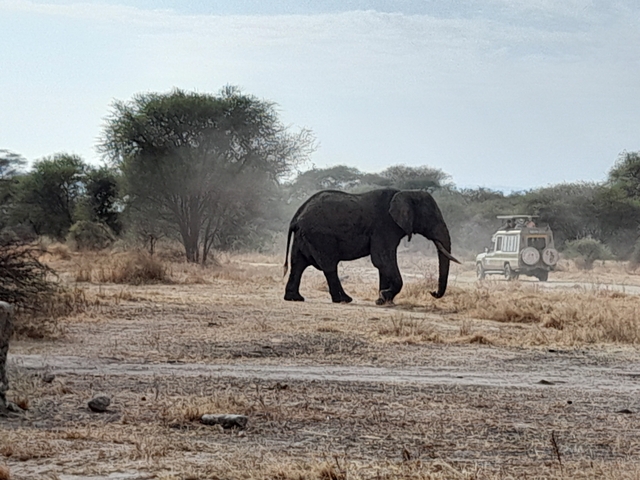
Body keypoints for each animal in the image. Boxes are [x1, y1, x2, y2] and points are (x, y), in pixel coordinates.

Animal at [283, 188, 459, 304]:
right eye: (431, 217)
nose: (432, 292)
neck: (406, 193)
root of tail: (297, 216)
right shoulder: (384, 227)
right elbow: (382, 259)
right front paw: (385, 296)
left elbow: (383, 264)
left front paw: (382, 300)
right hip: (320, 236)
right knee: (329, 266)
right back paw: (344, 300)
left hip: (303, 237)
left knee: (298, 264)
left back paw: (295, 298)